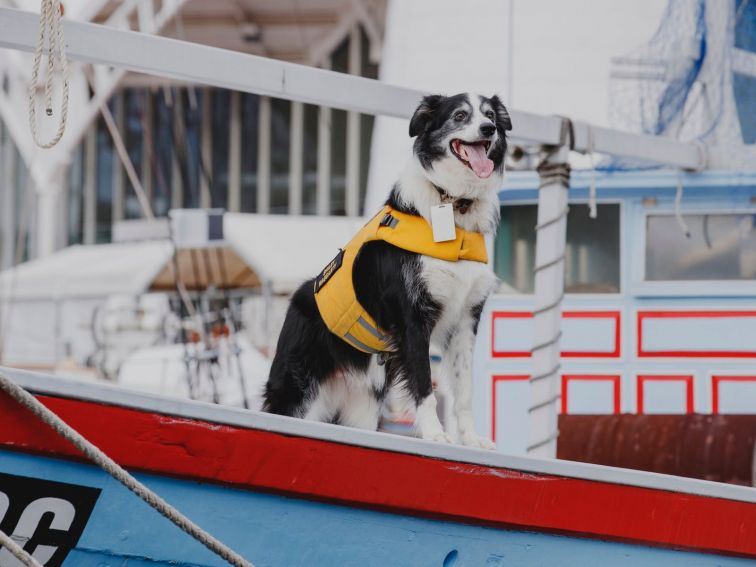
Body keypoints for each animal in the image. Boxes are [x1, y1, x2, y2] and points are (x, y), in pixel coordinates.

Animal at [262, 93, 510, 448]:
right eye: (461, 115)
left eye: (490, 115)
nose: (488, 128)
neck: (453, 204)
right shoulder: (412, 318)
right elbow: (424, 385)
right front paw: (435, 434)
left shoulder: (465, 319)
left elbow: (464, 391)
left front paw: (471, 439)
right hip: (300, 393)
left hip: (361, 408)